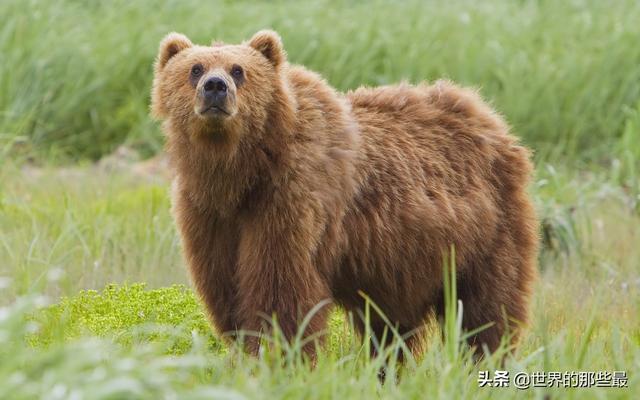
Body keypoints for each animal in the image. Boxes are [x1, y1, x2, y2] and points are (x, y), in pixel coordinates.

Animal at [151, 28, 540, 360]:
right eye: (195, 68)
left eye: (239, 70)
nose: (215, 87)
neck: (242, 172)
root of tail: (491, 119)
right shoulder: (209, 213)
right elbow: (226, 287)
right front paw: (247, 349)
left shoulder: (292, 198)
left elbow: (280, 290)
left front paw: (280, 355)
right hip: (402, 262)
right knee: (391, 328)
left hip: (485, 233)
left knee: (486, 309)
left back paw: (484, 358)